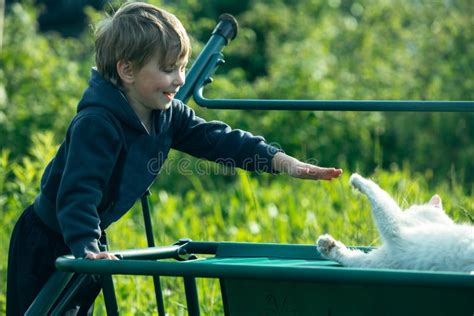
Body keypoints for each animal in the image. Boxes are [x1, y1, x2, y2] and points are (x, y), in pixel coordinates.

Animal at [316, 174, 474, 272]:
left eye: (412, 209)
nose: (407, 210)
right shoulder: (384, 260)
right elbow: (350, 256)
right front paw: (327, 245)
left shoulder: (397, 228)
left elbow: (379, 195)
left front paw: (358, 179)